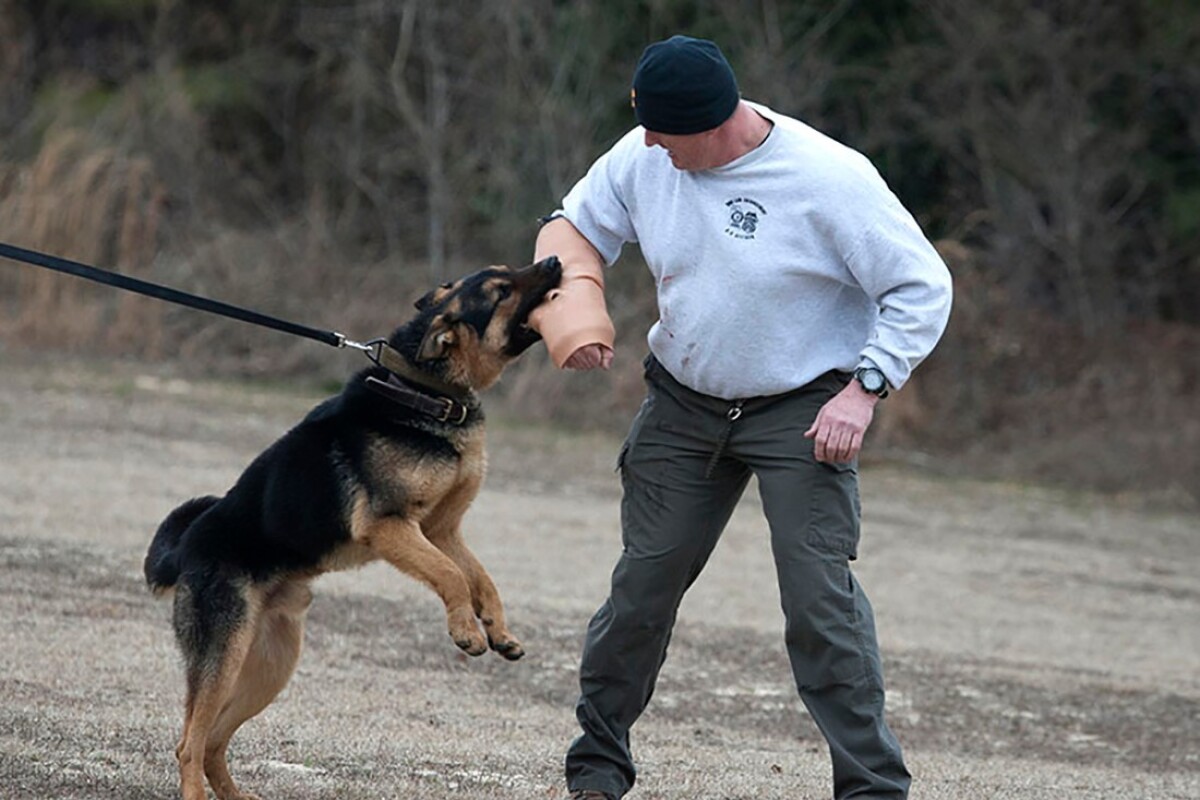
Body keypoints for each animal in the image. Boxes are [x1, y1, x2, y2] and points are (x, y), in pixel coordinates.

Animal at [144, 256, 561, 800]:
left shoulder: (444, 530)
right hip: (225, 655)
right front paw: (466, 631)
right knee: (189, 744)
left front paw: (499, 629)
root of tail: (187, 548)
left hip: (271, 665)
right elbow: (451, 576)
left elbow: (481, 578)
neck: (426, 389)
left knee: (213, 739)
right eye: (501, 289)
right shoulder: (390, 526)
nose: (555, 261)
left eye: (506, 271)